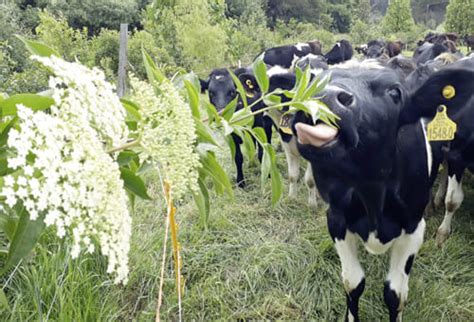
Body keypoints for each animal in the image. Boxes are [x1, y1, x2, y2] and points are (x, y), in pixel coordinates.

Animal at [288, 61, 474, 320]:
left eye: (395, 92)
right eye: (315, 82)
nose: (323, 96)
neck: (372, 195)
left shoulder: (414, 228)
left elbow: (395, 295)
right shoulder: (336, 219)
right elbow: (353, 283)